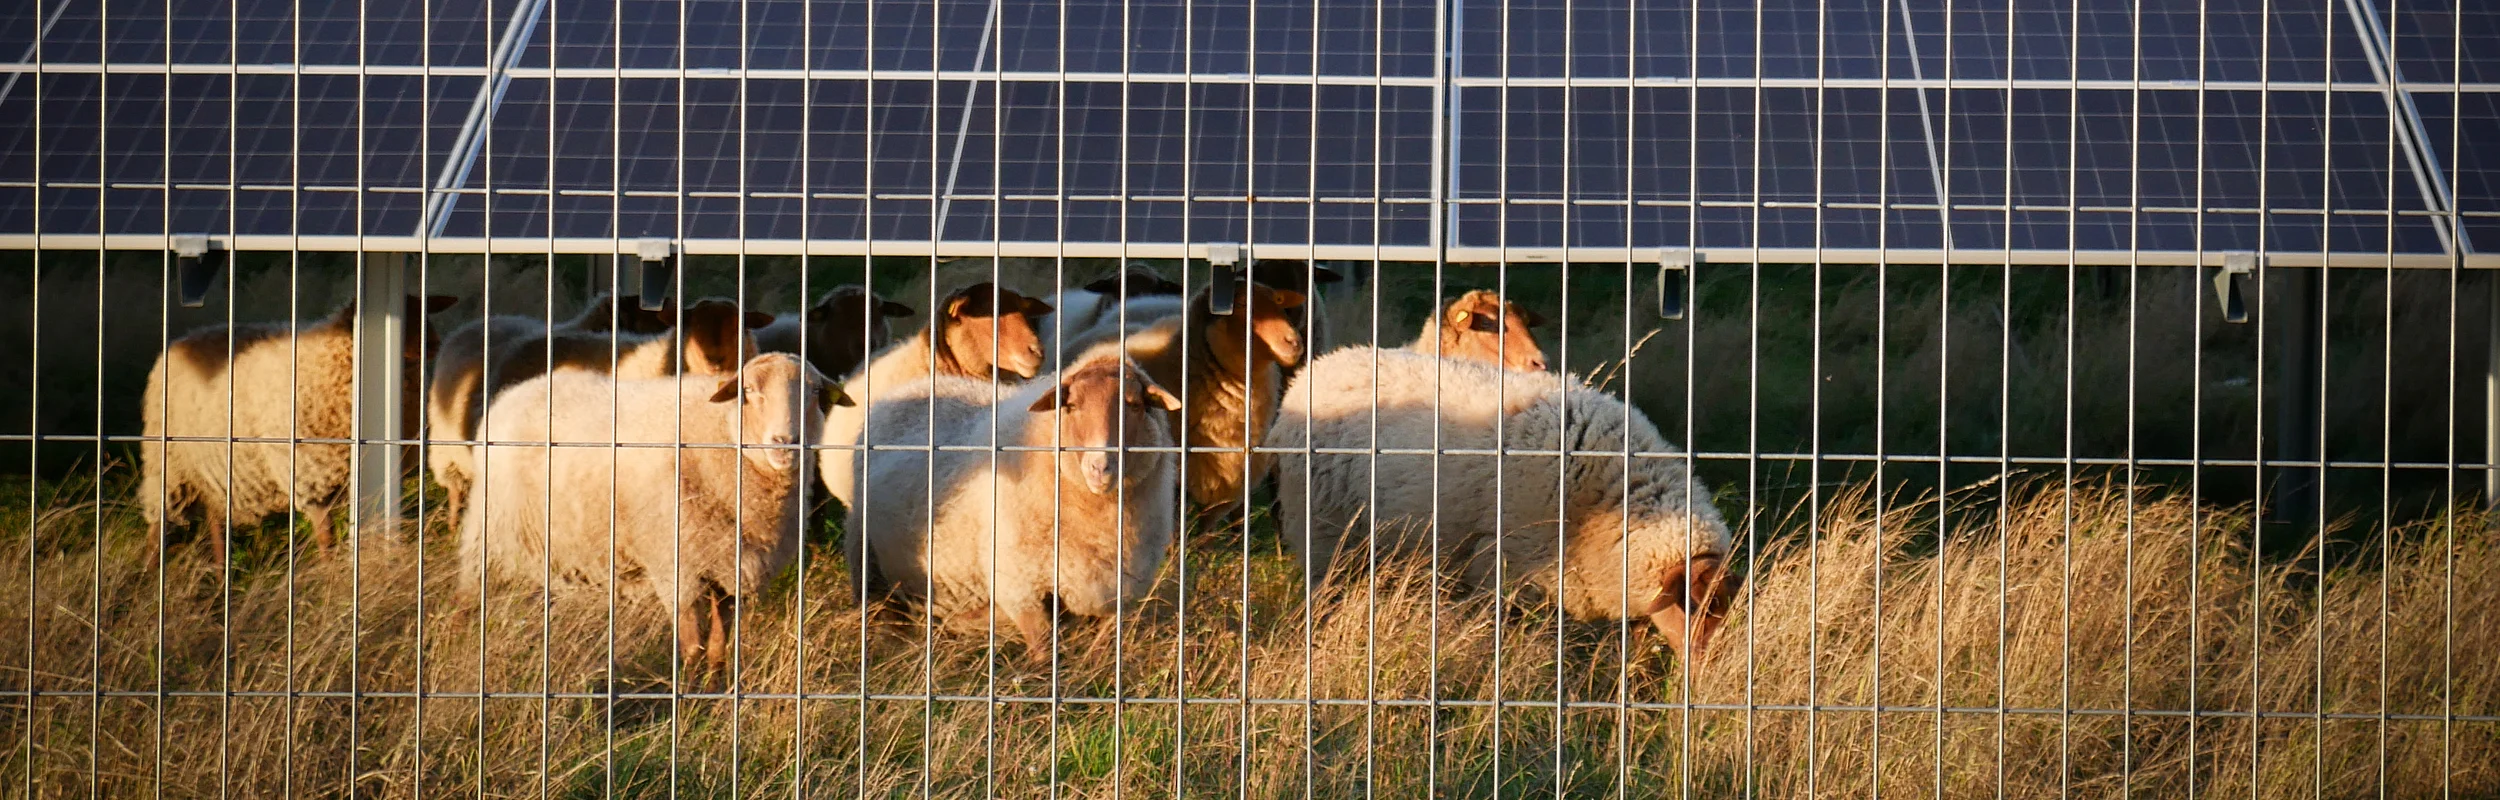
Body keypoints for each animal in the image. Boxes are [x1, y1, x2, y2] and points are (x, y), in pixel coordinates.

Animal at [141, 294, 460, 561]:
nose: (433, 343)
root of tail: (184, 339)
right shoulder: (310, 476)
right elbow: (325, 535)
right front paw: (330, 574)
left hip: (210, 467)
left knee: (214, 518)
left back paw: (220, 573)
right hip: (168, 463)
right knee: (158, 522)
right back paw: (151, 569)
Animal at [459, 352, 847, 673]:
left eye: (815, 391)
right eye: (749, 390)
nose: (785, 442)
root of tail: (516, 392)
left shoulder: (725, 568)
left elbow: (718, 650)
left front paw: (714, 694)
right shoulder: (677, 567)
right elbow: (692, 649)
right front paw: (689, 704)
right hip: (491, 537)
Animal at [844, 354, 1184, 650]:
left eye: (1135, 406)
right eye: (1072, 406)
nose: (1099, 467)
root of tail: (912, 386)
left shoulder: (1116, 601)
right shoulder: (1022, 589)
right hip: (868, 563)